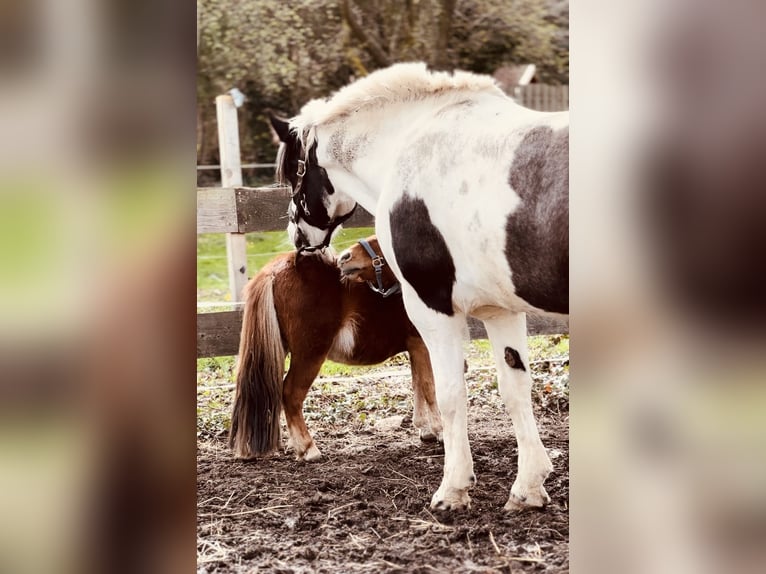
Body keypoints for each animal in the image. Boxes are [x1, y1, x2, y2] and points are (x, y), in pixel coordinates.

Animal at [231, 236, 440, 466]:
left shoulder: (415, 347)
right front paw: (439, 430)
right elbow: (430, 387)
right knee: (291, 393)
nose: (346, 257)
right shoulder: (422, 345)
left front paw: (425, 429)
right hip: (310, 355)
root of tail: (275, 270)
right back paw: (308, 448)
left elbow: (418, 384)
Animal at [272, 62, 568, 512]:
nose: (299, 239)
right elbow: (515, 388)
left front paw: (453, 490)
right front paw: (529, 487)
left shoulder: (433, 310)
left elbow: (449, 394)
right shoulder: (501, 311)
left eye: (294, 173)